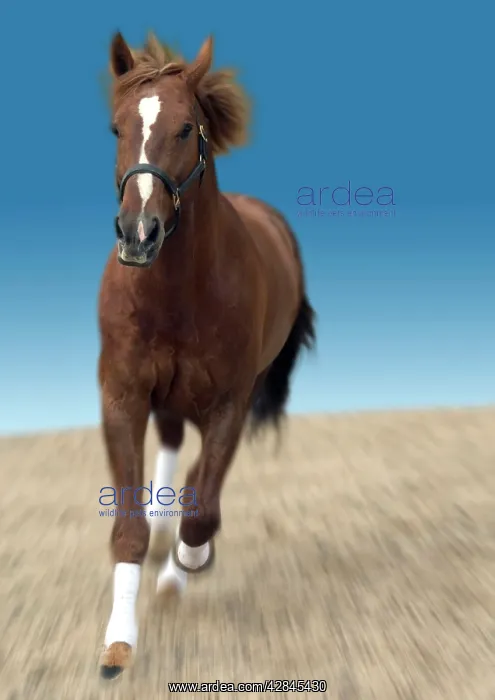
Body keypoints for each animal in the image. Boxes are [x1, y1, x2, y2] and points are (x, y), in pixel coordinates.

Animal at [98, 30, 316, 679]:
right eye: (116, 128)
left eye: (187, 128)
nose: (138, 234)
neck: (176, 293)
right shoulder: (123, 397)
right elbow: (129, 530)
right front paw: (117, 645)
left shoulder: (229, 404)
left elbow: (202, 507)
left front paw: (188, 563)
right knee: (175, 448)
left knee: (200, 480)